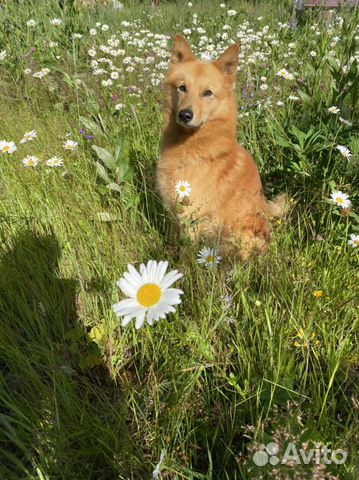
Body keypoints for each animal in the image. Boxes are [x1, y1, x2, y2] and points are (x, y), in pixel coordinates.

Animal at [156, 35, 286, 260]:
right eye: (182, 88)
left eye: (207, 93)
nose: (184, 115)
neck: (192, 145)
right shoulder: (174, 212)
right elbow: (173, 243)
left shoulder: (192, 217)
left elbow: (186, 256)